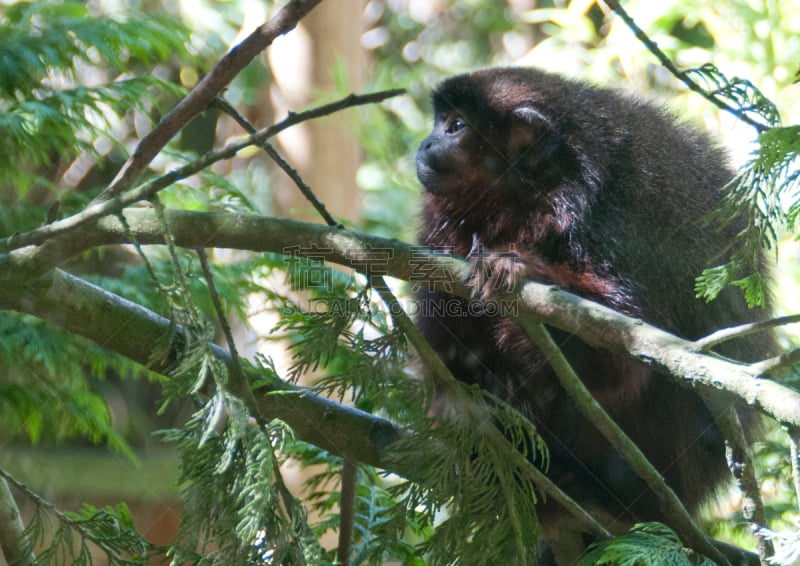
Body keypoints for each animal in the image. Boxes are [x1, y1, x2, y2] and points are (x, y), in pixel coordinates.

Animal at [412, 67, 768, 566]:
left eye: (456, 126)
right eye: (440, 121)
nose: (425, 143)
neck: (534, 197)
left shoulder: (612, 225)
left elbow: (623, 360)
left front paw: (519, 267)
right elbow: (443, 346)